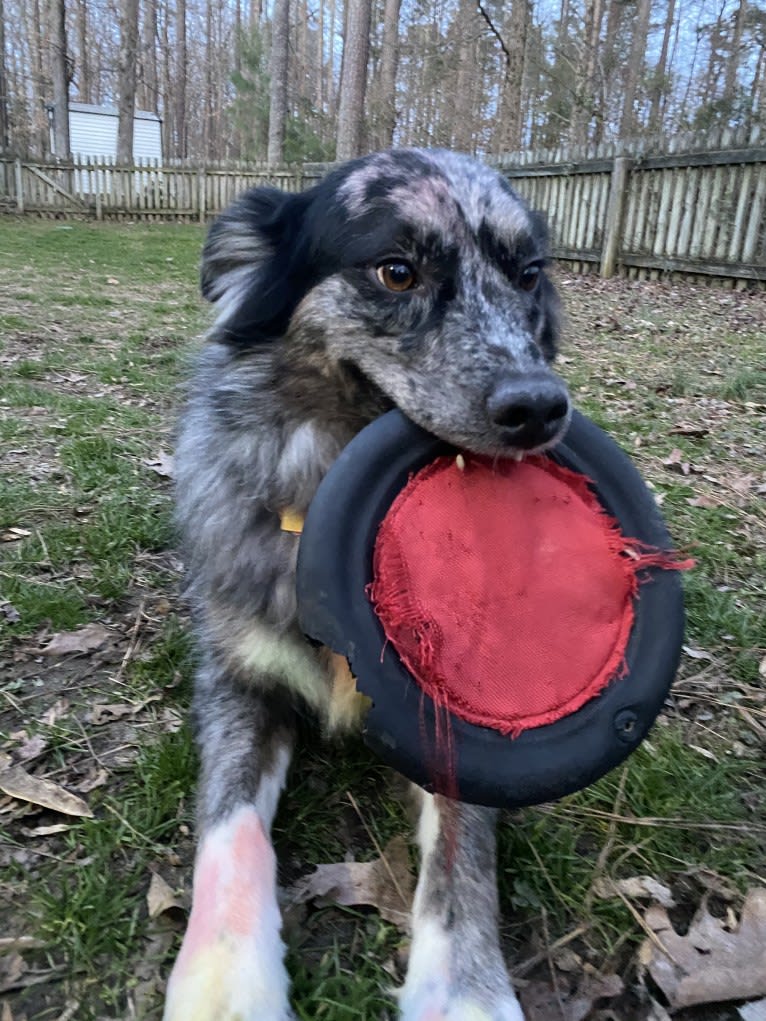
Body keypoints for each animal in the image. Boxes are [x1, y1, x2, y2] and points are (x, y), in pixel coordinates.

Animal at [166, 146, 571, 1021]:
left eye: (528, 274)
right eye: (396, 271)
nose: (542, 409)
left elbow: (462, 853)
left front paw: (467, 991)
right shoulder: (238, 680)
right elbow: (228, 825)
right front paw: (225, 983)